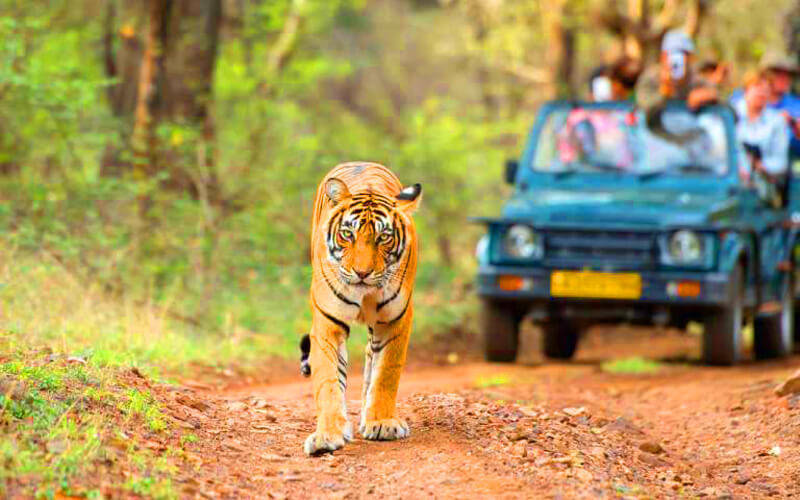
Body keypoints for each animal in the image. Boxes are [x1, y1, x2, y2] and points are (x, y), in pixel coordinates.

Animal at [302, 161, 421, 456]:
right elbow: (328, 381)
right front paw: (327, 434)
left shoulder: (395, 321)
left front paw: (381, 423)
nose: (362, 273)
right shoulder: (327, 324)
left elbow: (386, 373)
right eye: (348, 234)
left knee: (371, 359)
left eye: (383, 237)